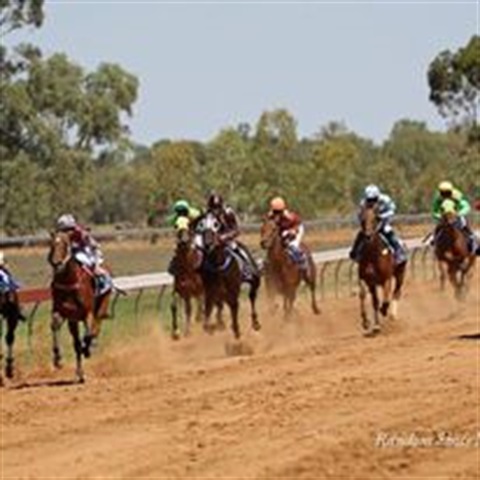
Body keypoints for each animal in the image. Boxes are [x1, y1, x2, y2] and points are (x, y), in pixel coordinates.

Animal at [47, 231, 110, 384]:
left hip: (102, 306)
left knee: (95, 327)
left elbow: (87, 335)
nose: (56, 263)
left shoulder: (88, 313)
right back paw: (80, 373)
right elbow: (55, 326)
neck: (69, 281)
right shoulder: (63, 313)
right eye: (51, 244)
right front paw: (58, 359)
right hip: (73, 321)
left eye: (65, 244)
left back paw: (91, 345)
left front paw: (87, 348)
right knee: (78, 342)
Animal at [199, 212, 260, 340]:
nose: (208, 242)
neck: (218, 265)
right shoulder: (211, 291)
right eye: (201, 224)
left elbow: (234, 305)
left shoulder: (233, 289)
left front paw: (236, 330)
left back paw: (255, 322)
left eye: (216, 224)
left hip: (254, 279)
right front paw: (210, 328)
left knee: (252, 296)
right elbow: (208, 310)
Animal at [356, 204, 404, 336]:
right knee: (377, 299)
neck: (372, 255)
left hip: (400, 274)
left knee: (396, 292)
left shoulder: (386, 279)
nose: (368, 236)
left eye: (375, 219)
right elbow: (366, 297)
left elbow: (386, 298)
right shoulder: (366, 280)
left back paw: (392, 314)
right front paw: (367, 322)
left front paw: (384, 310)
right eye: (362, 219)